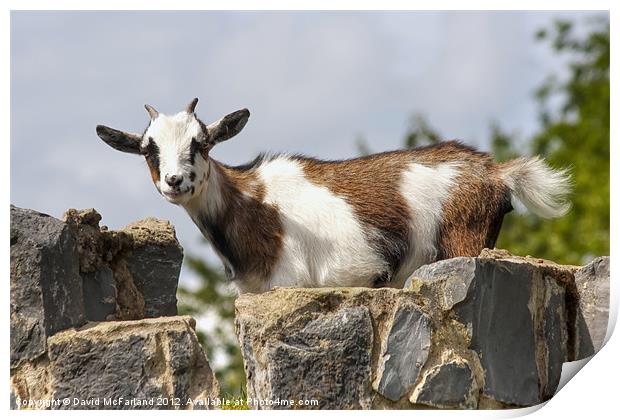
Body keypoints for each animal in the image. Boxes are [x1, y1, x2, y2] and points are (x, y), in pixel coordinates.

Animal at [97, 99, 572, 294]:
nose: (175, 181)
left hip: (463, 240)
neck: (249, 203)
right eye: (149, 149)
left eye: (201, 142)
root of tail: (495, 171)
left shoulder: (287, 282)